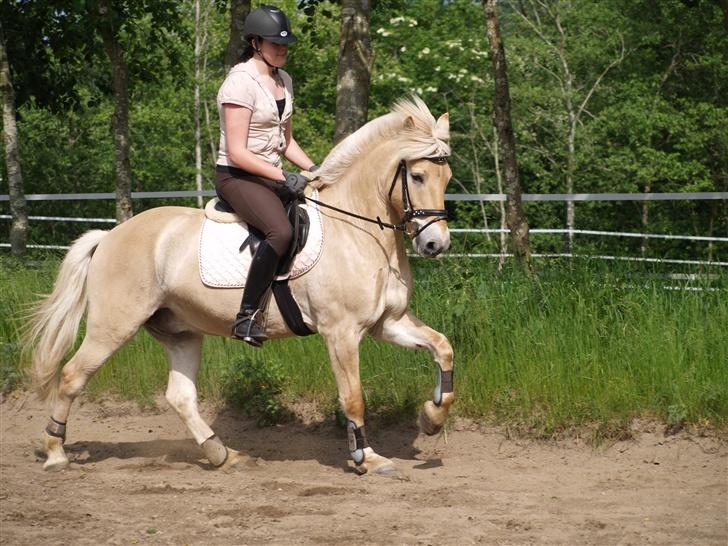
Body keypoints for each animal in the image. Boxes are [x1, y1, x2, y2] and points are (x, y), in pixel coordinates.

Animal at [28, 95, 456, 474]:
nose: (435, 245)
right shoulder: (341, 331)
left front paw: (431, 418)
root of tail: (109, 237)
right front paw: (368, 459)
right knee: (72, 376)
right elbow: (353, 398)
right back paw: (56, 453)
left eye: (447, 178)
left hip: (180, 330)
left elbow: (443, 348)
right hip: (114, 326)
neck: (358, 230)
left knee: (180, 396)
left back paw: (223, 455)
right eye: (417, 176)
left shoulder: (387, 322)